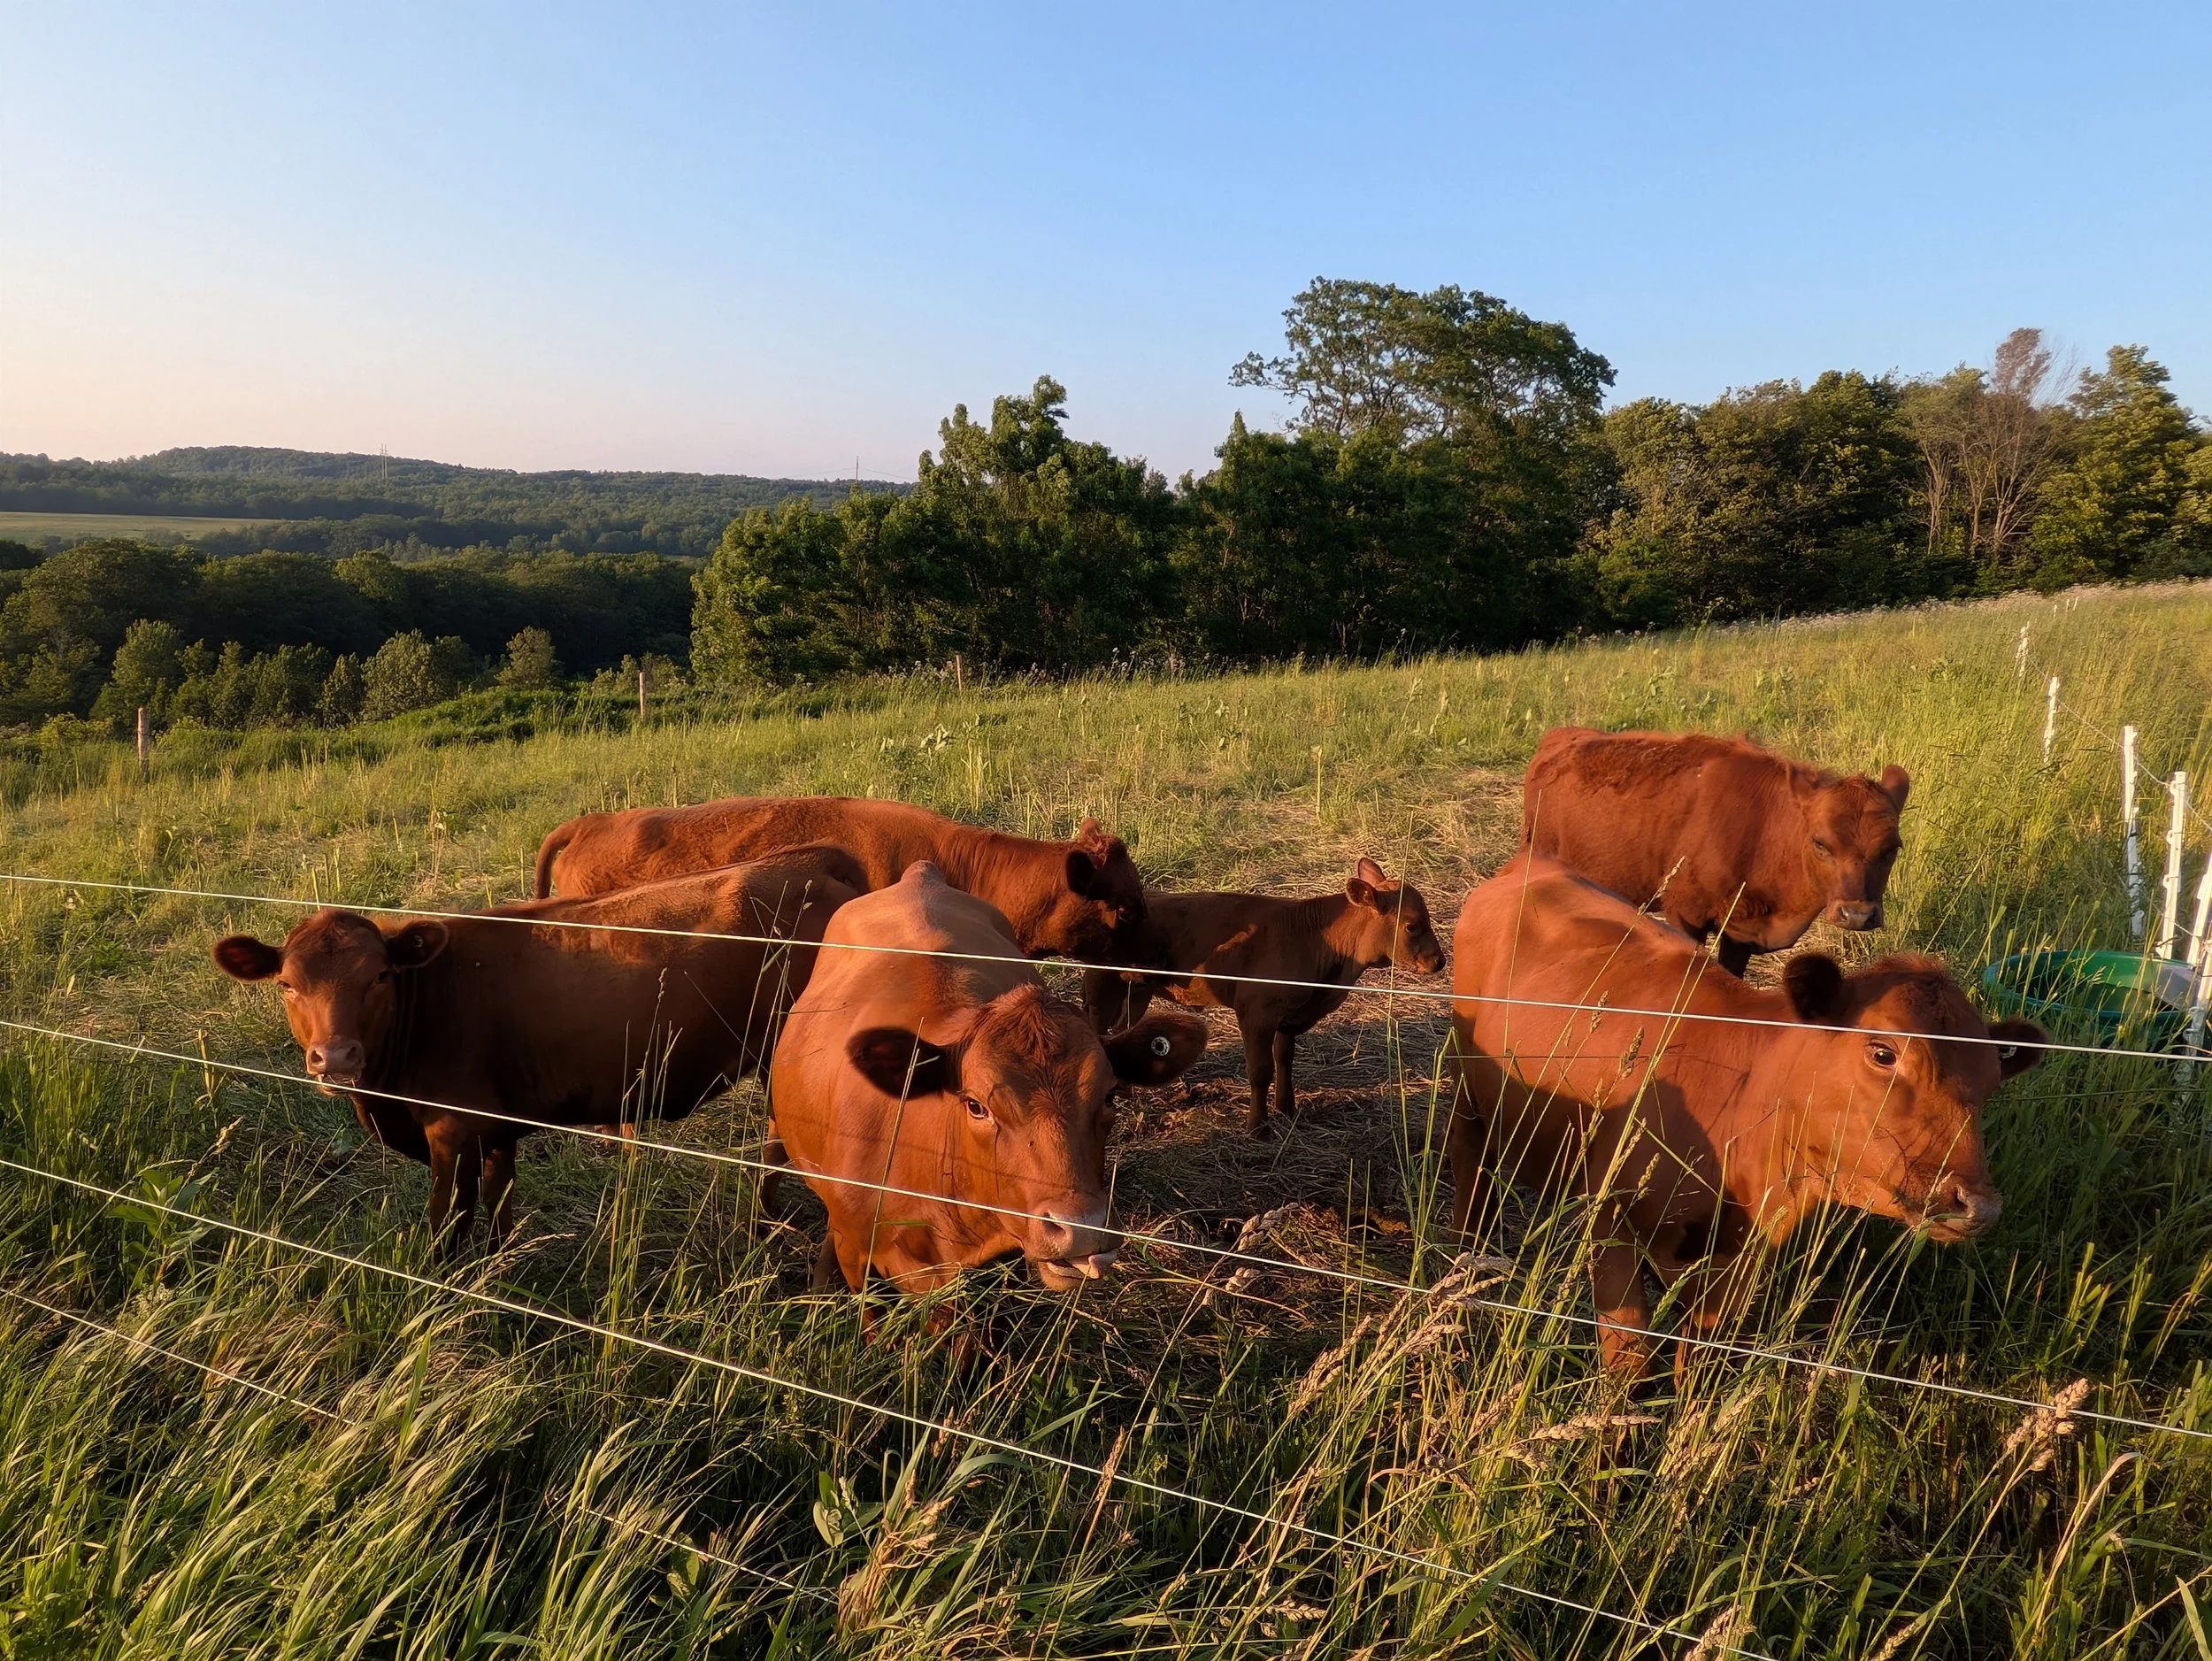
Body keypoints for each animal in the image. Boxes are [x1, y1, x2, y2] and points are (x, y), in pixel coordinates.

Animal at [211, 849, 861, 1252]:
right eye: (287, 983)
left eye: (379, 976)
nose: (337, 1058)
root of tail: (808, 862)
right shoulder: (495, 1130)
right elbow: (499, 1206)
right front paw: (499, 1266)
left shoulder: (451, 1131)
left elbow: (447, 1223)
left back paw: (771, 1224)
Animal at [1081, 858, 1448, 1139]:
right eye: (1412, 926)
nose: (1439, 961)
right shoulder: (1256, 1013)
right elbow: (1260, 1070)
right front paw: (1258, 1127)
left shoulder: (1289, 1016)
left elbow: (1284, 1059)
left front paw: (1288, 1109)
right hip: (1101, 985)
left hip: (1137, 990)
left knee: (1124, 1031)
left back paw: (1127, 1090)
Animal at [1445, 853, 2043, 1378]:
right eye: (1883, 1053)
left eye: (1992, 1082)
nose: (1978, 1205)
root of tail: (1533, 864)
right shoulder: (1611, 1218)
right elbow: (1629, 1358)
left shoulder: (1736, 1261)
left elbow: (1700, 1358)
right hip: (1467, 1087)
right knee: (1469, 1164)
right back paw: (1466, 1262)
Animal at [1522, 726, 1911, 977]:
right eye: (1820, 843)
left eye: (1892, 848)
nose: (1857, 915)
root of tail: (1561, 737)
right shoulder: (1685, 915)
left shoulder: (1742, 931)